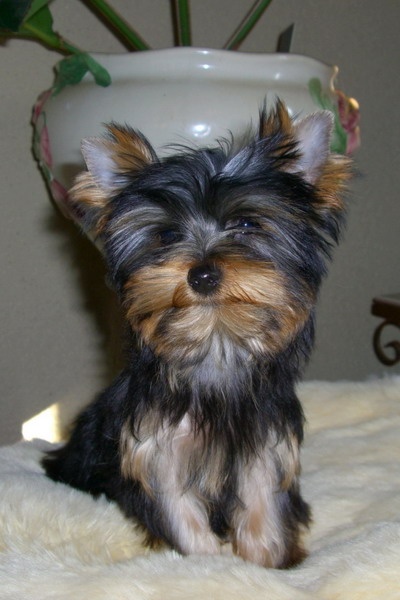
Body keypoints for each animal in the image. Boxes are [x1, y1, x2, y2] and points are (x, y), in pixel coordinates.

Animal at [42, 100, 350, 568]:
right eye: (167, 234)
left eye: (246, 224)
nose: (202, 274)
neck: (215, 343)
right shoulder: (157, 449)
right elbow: (179, 512)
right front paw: (206, 564)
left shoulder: (264, 447)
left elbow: (263, 503)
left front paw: (266, 561)